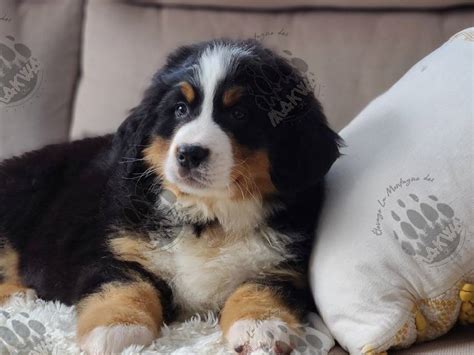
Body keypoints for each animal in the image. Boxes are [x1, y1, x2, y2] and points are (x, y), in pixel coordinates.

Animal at [0, 39, 340, 355]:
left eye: (240, 113)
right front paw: (117, 328)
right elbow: (125, 283)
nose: (189, 153)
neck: (208, 217)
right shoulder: (115, 249)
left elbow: (265, 285)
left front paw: (260, 325)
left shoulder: (287, 265)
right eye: (180, 109)